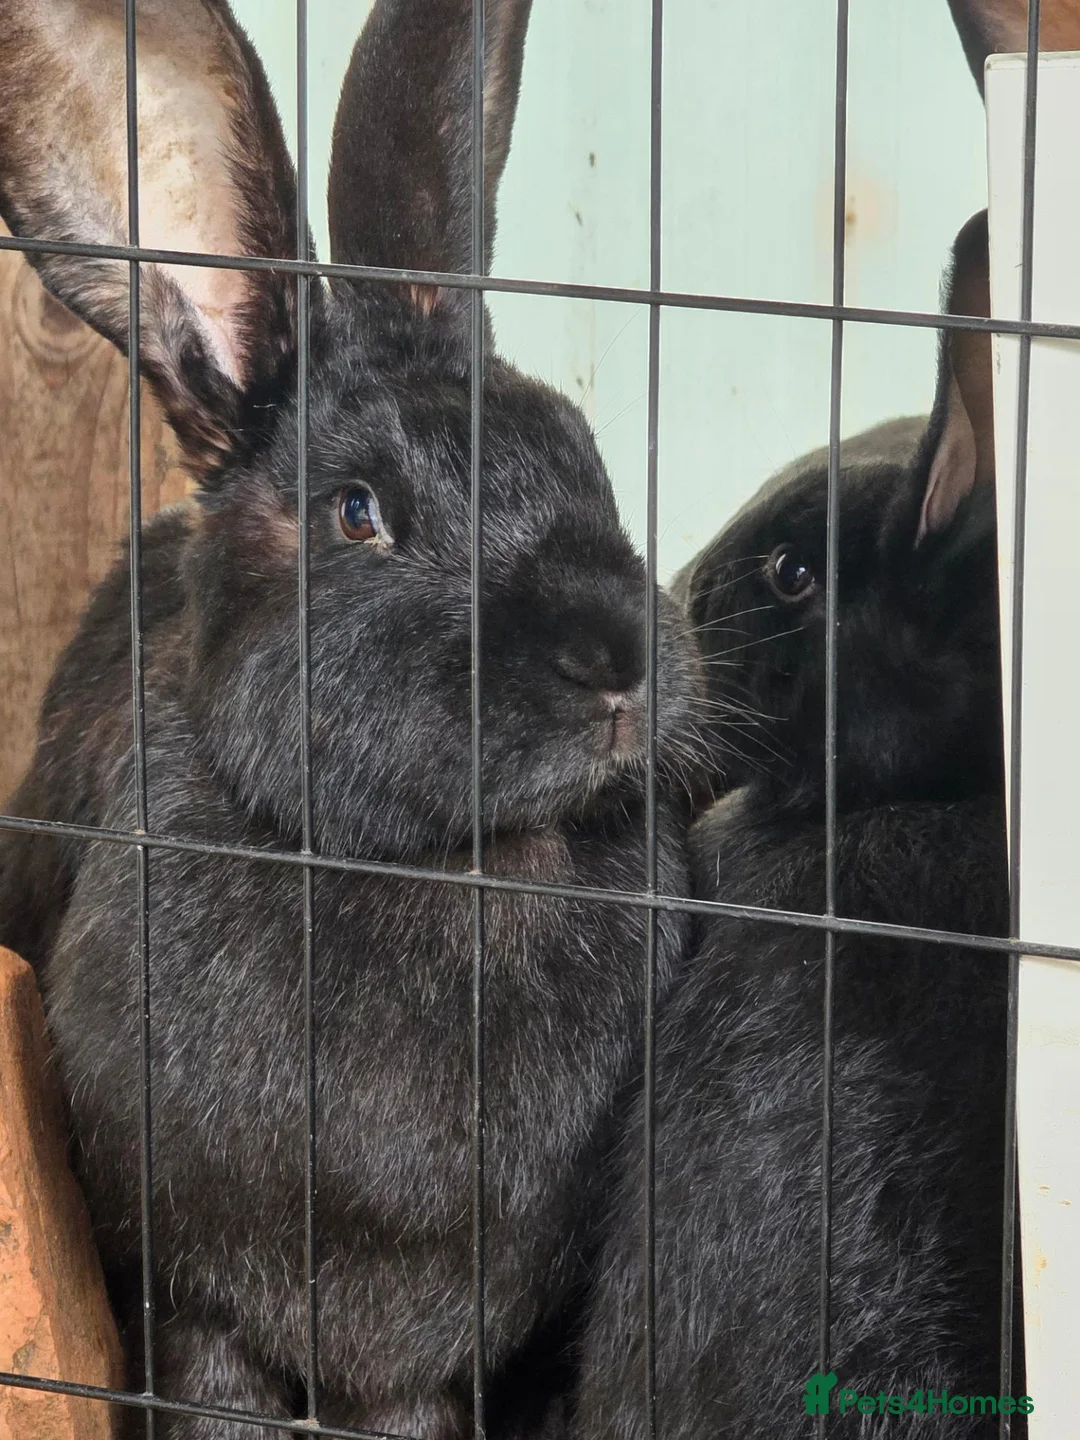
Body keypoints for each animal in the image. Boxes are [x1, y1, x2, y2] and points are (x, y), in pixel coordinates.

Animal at [0, 0, 705, 1435]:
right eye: (360, 514)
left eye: (581, 451)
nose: (618, 659)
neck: (461, 869)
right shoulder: (189, 1298)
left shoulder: (434, 1350)